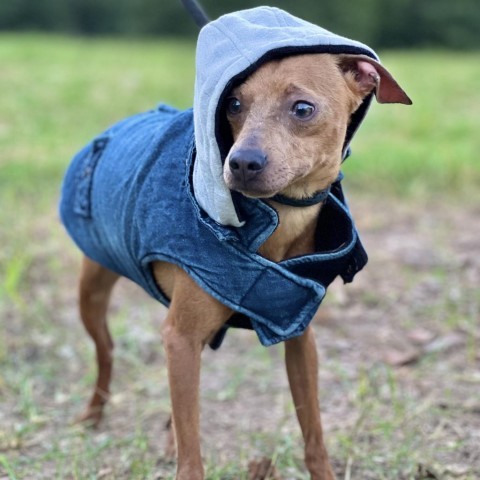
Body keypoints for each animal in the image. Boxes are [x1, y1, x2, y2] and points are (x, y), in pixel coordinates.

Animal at [60, 4, 410, 480]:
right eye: (233, 104)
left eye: (303, 108)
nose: (241, 162)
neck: (278, 222)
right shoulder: (180, 336)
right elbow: (192, 459)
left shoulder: (297, 334)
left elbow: (313, 432)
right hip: (94, 291)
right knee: (107, 352)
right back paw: (93, 414)